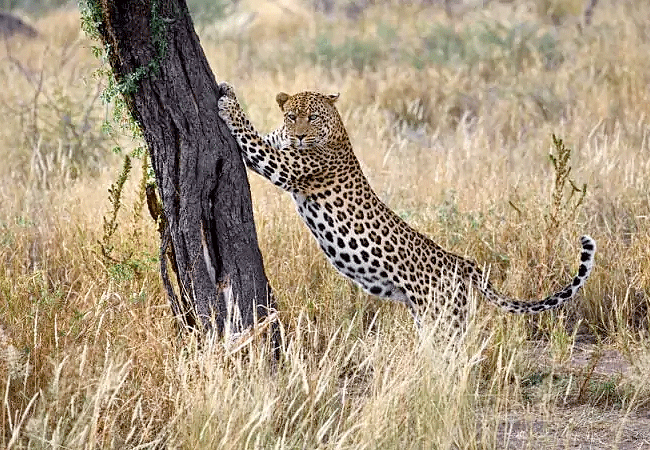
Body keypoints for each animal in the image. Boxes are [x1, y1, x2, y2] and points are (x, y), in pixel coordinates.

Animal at [215, 82, 596, 332]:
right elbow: (264, 133)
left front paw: (228, 104)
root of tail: (461, 262)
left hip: (442, 319)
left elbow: (249, 133)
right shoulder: (278, 146)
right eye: (293, 116)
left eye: (314, 119)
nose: (299, 136)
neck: (336, 130)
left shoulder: (284, 165)